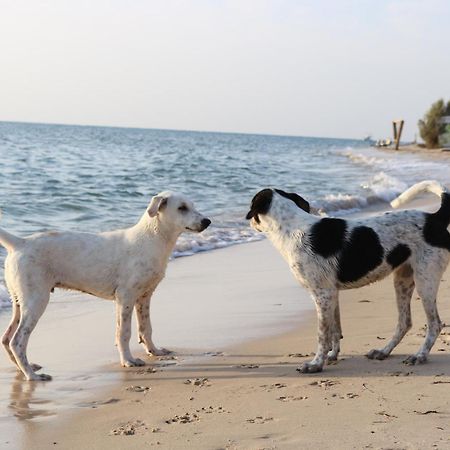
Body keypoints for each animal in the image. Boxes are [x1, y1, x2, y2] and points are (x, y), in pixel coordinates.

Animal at [0, 190, 211, 380]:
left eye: (193, 206)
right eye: (182, 208)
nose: (207, 221)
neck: (152, 239)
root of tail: (20, 242)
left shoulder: (144, 297)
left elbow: (146, 328)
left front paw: (154, 351)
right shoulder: (125, 297)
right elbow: (124, 332)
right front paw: (128, 361)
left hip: (19, 302)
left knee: (7, 338)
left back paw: (26, 368)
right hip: (37, 301)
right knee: (17, 341)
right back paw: (32, 375)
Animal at [246, 179, 450, 372]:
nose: (249, 222)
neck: (292, 228)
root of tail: (434, 218)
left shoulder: (322, 295)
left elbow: (323, 335)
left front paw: (316, 364)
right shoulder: (331, 294)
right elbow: (335, 330)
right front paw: (332, 355)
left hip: (425, 281)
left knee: (435, 324)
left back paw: (419, 355)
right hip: (403, 280)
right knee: (404, 323)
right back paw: (383, 351)